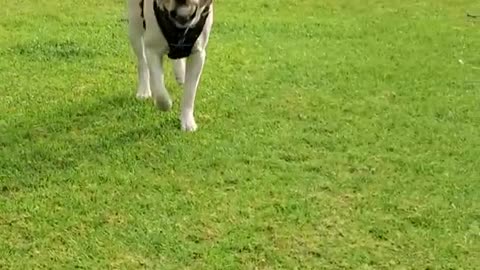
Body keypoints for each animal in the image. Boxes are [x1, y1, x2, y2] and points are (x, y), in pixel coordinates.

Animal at [126, 0, 213, 131]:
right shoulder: (152, 50)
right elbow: (159, 90)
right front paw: (165, 104)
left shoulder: (198, 54)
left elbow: (190, 92)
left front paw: (187, 122)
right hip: (134, 25)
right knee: (142, 62)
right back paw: (144, 90)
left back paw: (181, 74)